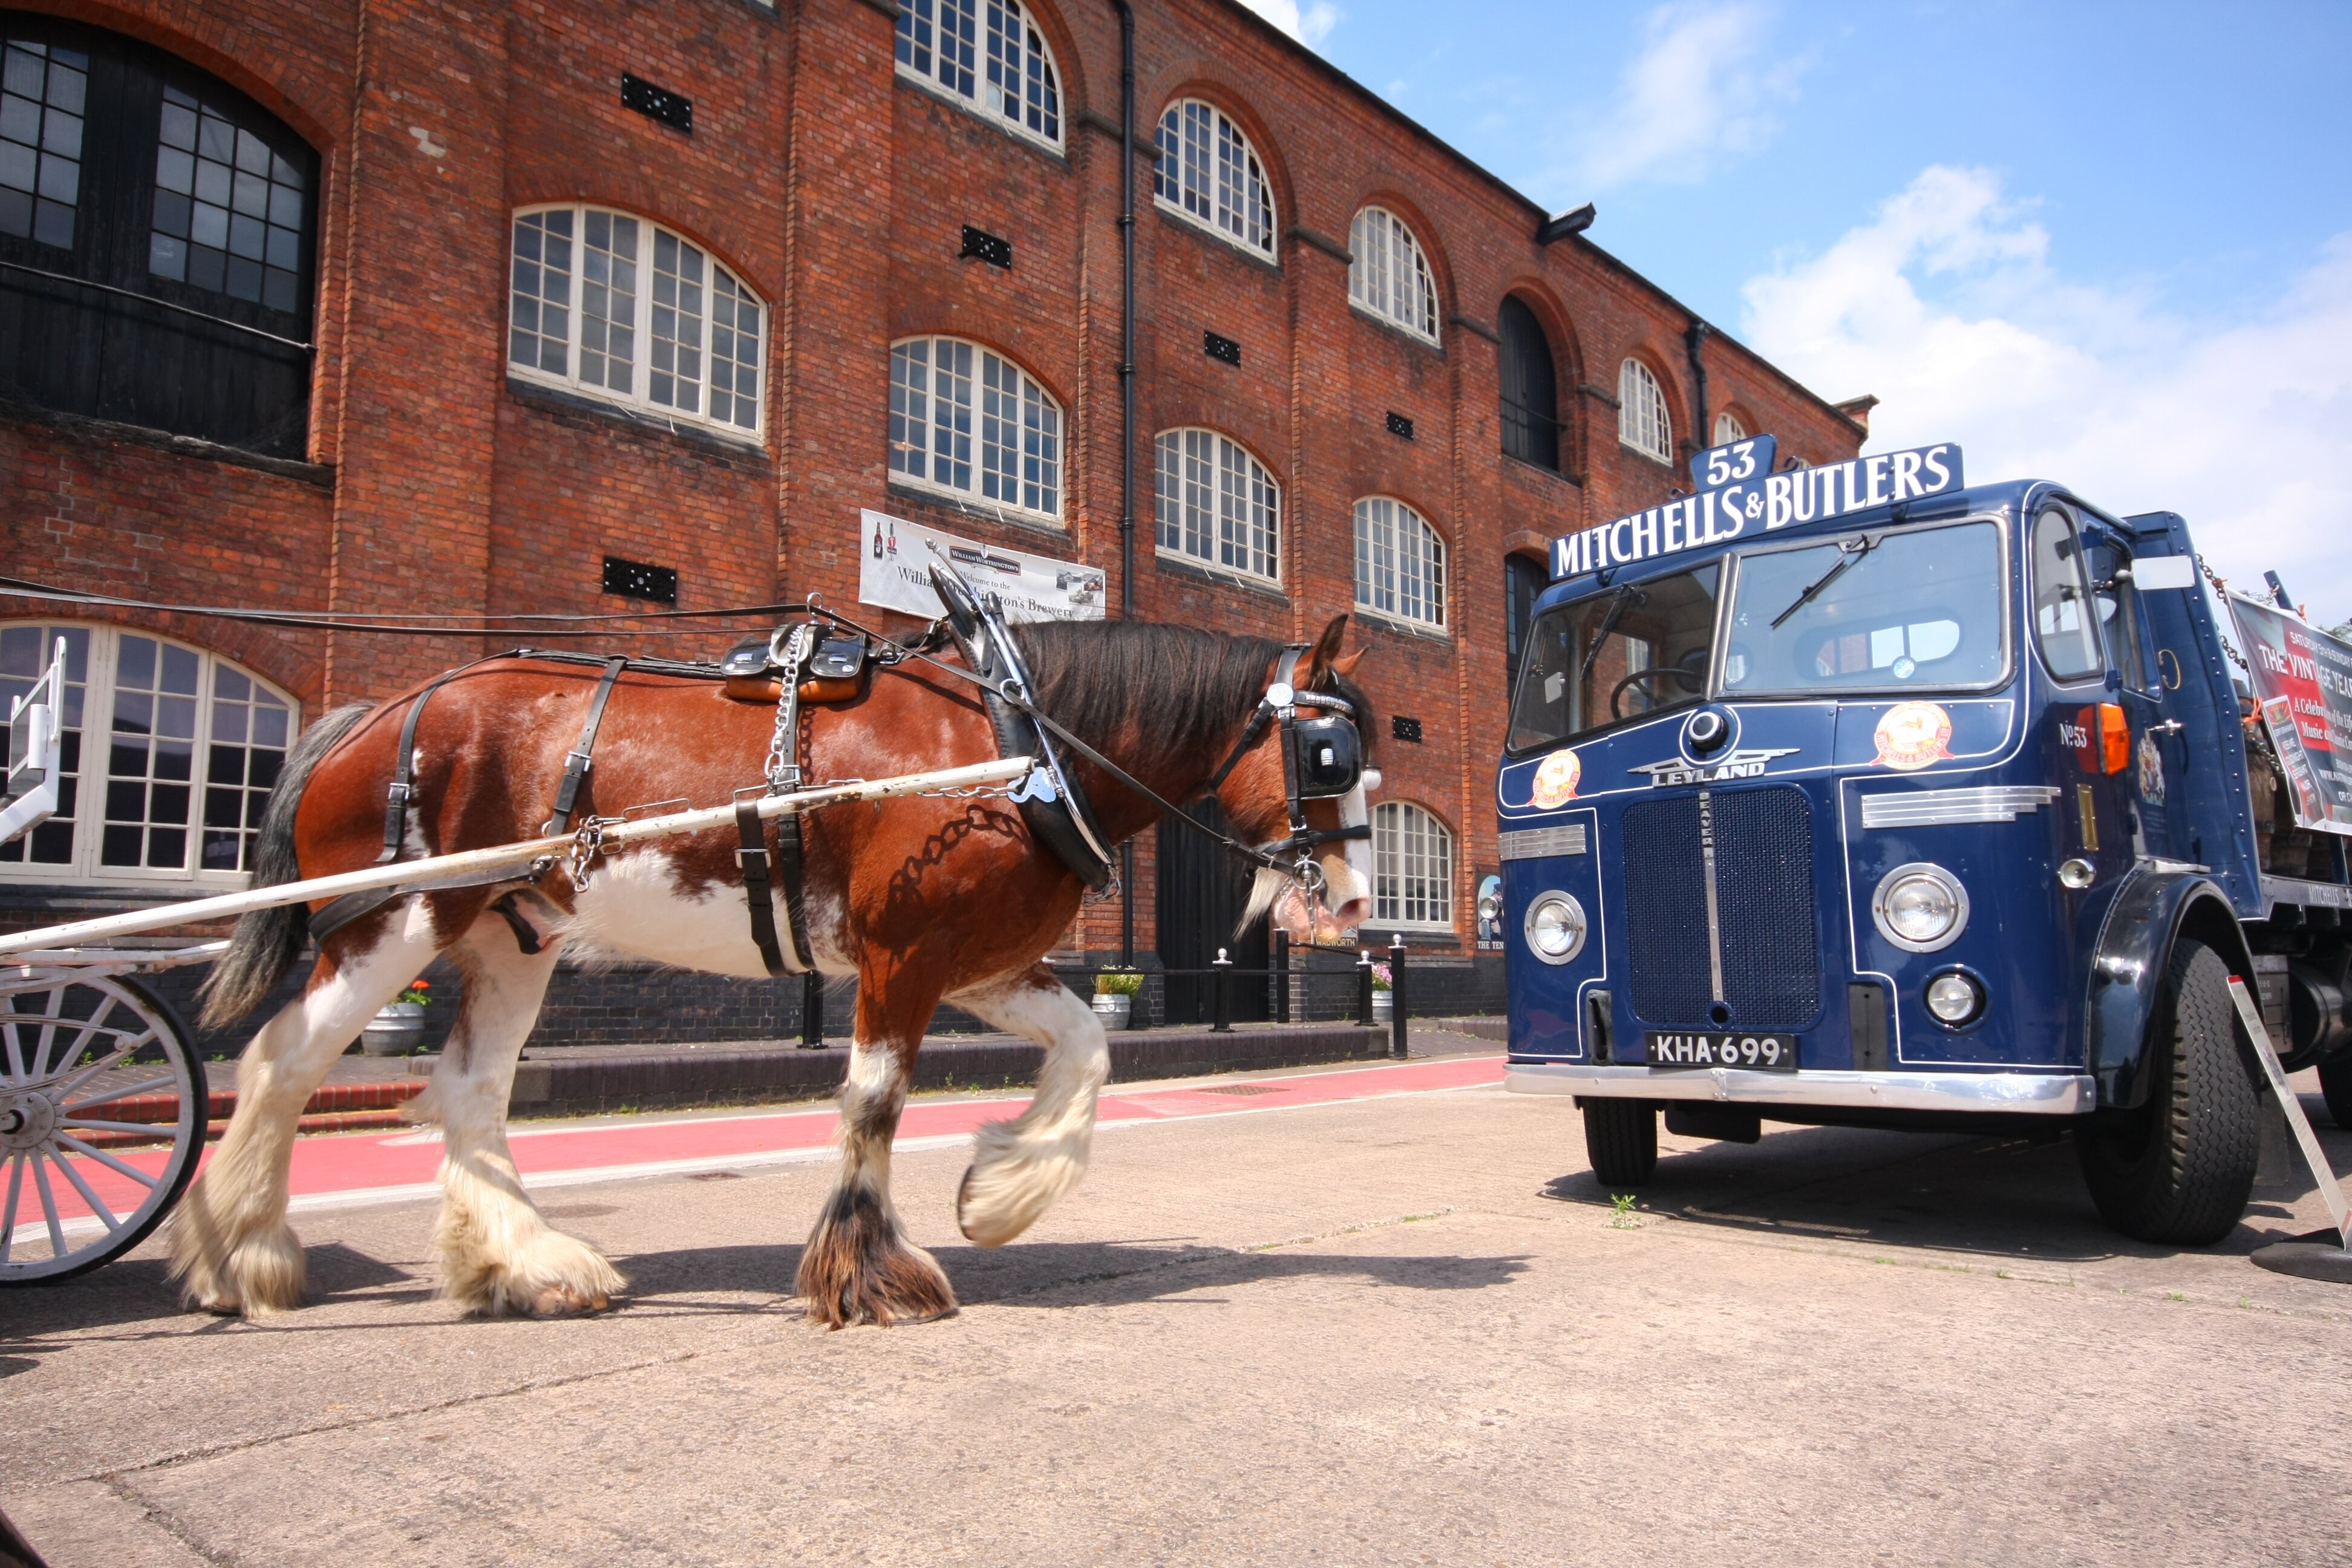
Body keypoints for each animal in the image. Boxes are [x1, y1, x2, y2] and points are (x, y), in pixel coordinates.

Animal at [174, 611, 1373, 1325]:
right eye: (1327, 755)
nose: (1361, 902)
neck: (1011, 741)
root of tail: (370, 714)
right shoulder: (904, 954)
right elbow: (875, 1102)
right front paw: (869, 1271)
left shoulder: (975, 962)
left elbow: (1086, 1050)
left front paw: (999, 1192)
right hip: (398, 922)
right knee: (283, 1064)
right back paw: (245, 1255)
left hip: (512, 933)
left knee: (469, 1090)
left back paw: (526, 1263)